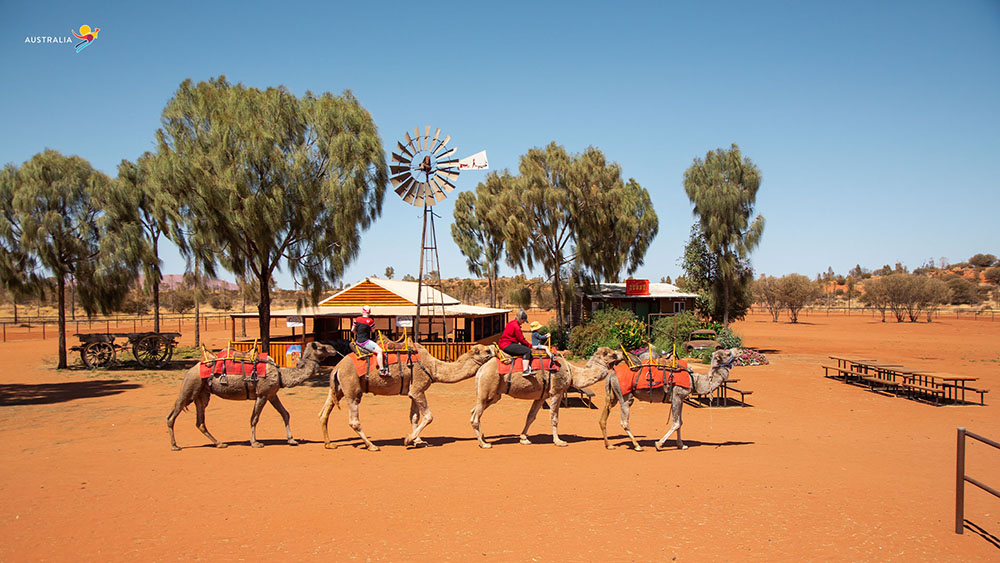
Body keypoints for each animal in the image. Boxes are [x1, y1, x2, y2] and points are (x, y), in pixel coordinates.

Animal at [164, 342, 336, 452]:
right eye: (321, 347)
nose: (334, 349)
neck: (281, 374)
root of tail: (191, 369)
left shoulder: (272, 394)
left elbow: (285, 414)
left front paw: (292, 440)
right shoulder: (262, 394)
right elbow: (254, 418)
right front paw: (255, 443)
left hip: (202, 394)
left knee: (200, 422)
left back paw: (219, 443)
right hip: (190, 387)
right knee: (172, 414)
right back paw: (174, 446)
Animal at [318, 342, 494, 452]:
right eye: (487, 351)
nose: (494, 348)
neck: (434, 368)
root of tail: (337, 367)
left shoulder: (412, 392)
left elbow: (414, 417)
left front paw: (419, 441)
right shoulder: (418, 389)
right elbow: (428, 416)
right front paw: (409, 440)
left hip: (337, 389)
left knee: (324, 413)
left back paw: (329, 444)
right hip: (352, 389)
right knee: (353, 420)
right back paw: (372, 446)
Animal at [470, 344, 624, 450]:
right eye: (611, 353)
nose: (622, 352)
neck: (571, 372)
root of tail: (481, 370)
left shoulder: (541, 396)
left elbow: (531, 417)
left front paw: (524, 438)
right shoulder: (556, 391)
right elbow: (554, 417)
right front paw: (559, 441)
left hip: (492, 395)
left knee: (474, 412)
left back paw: (483, 438)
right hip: (488, 390)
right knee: (475, 417)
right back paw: (483, 444)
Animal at [596, 348, 740, 454]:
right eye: (727, 353)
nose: (739, 350)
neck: (695, 380)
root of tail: (611, 374)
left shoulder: (680, 399)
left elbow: (680, 422)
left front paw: (681, 445)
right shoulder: (677, 395)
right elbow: (676, 423)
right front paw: (659, 444)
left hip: (613, 396)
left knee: (603, 419)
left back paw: (609, 445)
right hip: (625, 397)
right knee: (624, 421)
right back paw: (637, 446)